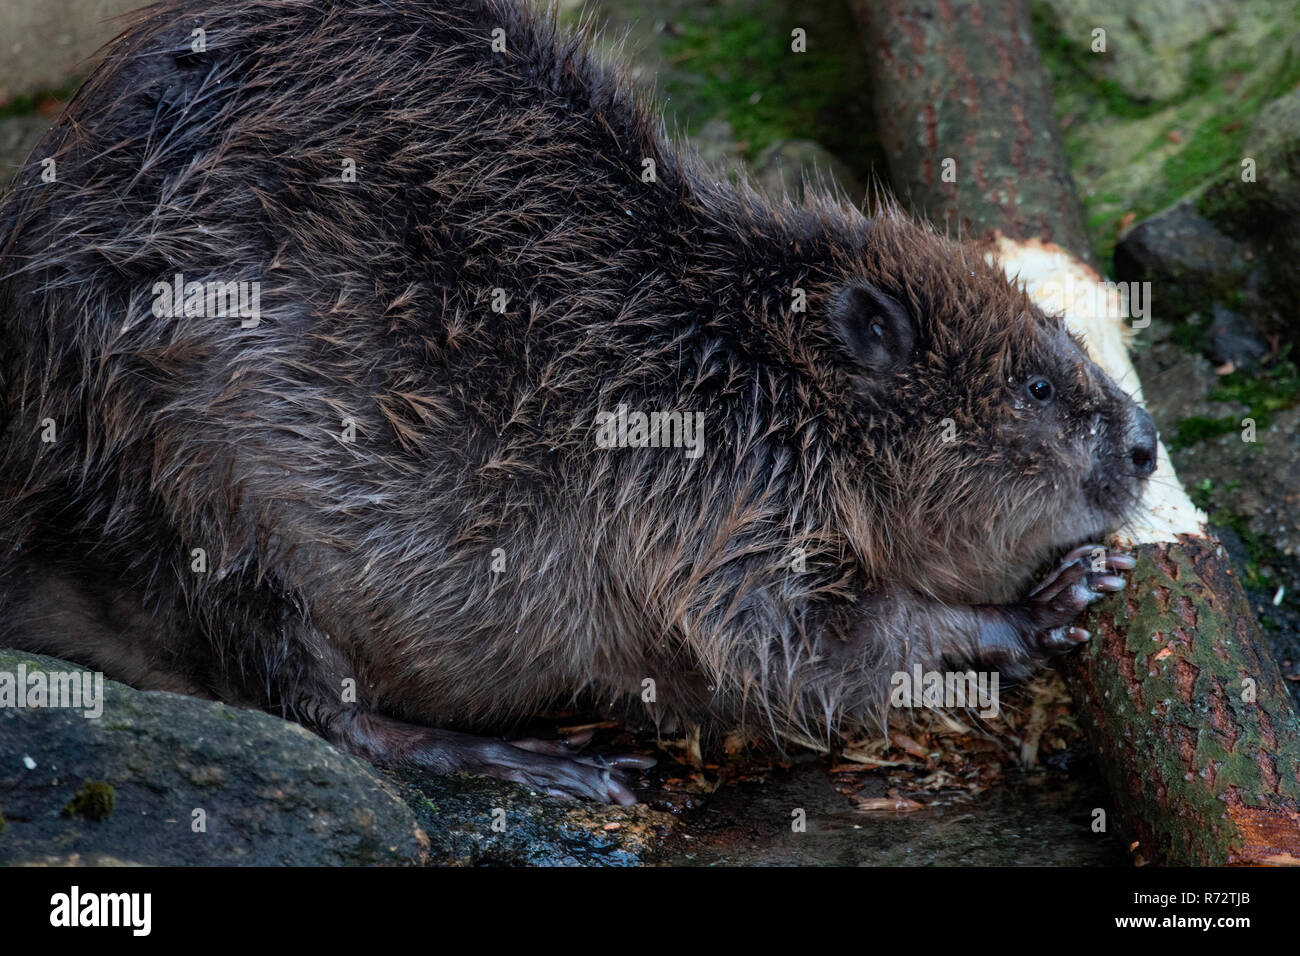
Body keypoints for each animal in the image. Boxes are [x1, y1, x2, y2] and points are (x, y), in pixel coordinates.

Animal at [0, 0, 1159, 806]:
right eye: (1038, 386)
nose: (1146, 442)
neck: (733, 348)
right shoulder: (716, 493)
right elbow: (797, 651)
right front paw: (1053, 600)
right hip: (195, 488)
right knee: (314, 702)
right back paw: (553, 761)